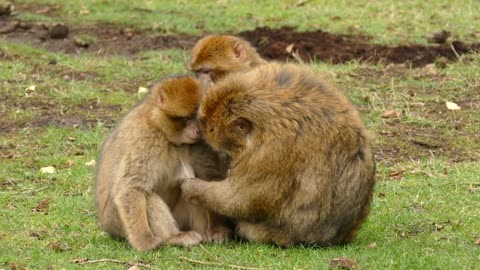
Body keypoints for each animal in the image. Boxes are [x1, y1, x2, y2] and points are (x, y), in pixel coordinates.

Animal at [95, 75, 231, 251]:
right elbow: (131, 188)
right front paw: (144, 241)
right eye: (186, 119)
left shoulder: (199, 144)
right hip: (117, 223)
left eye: (198, 117)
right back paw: (174, 237)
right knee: (148, 196)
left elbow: (208, 178)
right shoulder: (145, 140)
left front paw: (218, 229)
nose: (198, 131)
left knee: (190, 188)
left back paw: (206, 233)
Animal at [180, 63, 376, 247]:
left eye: (211, 129)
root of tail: (339, 237)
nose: (202, 131)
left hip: (277, 233)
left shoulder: (271, 152)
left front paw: (194, 188)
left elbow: (242, 199)